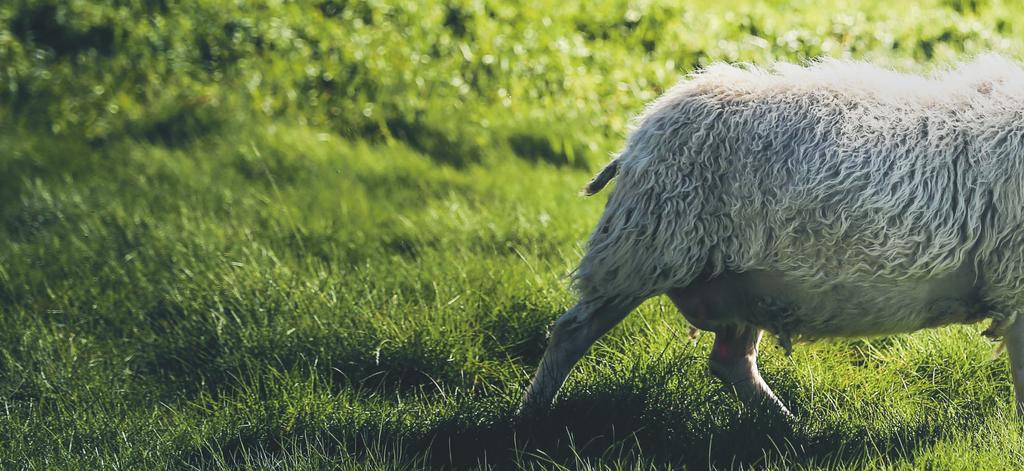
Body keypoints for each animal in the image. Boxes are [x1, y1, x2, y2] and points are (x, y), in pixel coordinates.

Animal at [520, 53, 1024, 417]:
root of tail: (637, 138)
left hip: (738, 282)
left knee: (730, 362)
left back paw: (785, 425)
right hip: (643, 251)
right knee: (570, 332)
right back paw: (531, 420)